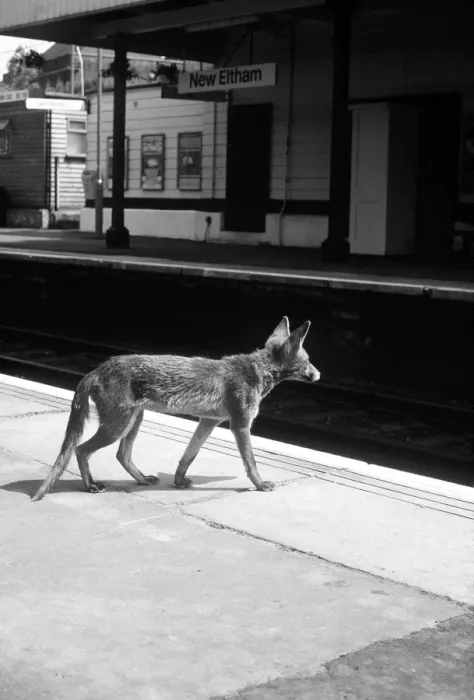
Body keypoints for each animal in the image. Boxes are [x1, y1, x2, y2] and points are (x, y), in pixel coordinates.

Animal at [30, 316, 320, 501]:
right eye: (308, 360)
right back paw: (90, 486)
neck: (256, 371)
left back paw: (141, 480)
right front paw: (260, 485)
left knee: (122, 456)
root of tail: (99, 368)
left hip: (133, 421)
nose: (319, 375)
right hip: (117, 427)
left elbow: (188, 455)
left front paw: (179, 481)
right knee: (81, 450)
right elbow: (251, 463)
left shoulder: (208, 421)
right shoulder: (240, 425)